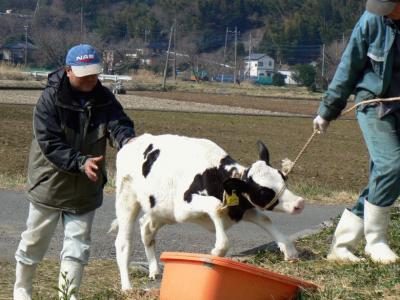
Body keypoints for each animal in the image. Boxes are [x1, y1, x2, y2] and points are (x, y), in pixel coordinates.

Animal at [111, 134, 304, 290]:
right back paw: (127, 287)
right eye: (263, 191)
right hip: (127, 199)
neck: (216, 177)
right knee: (123, 242)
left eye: (283, 177)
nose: (299, 203)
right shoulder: (182, 207)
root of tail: (133, 140)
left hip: (162, 210)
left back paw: (154, 270)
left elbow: (265, 219)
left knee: (147, 228)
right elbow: (215, 207)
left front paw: (289, 250)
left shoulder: (241, 209)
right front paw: (217, 251)